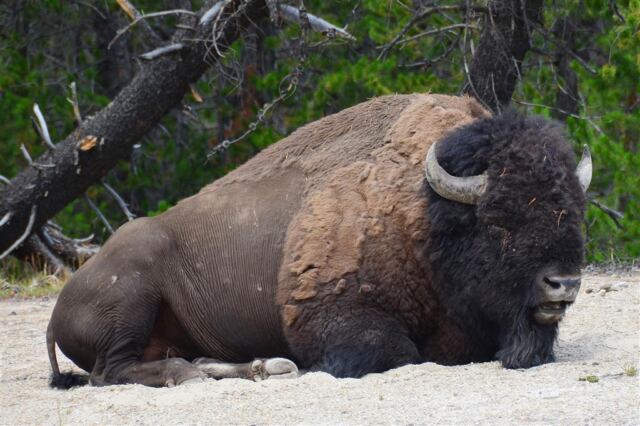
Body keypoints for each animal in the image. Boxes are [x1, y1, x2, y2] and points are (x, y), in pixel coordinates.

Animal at [47, 94, 592, 388]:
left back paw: (259, 366)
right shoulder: (334, 314)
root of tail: (57, 310)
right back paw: (197, 374)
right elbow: (396, 352)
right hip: (131, 295)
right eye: (499, 220)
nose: (563, 284)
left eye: (575, 212)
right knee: (111, 371)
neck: (422, 211)